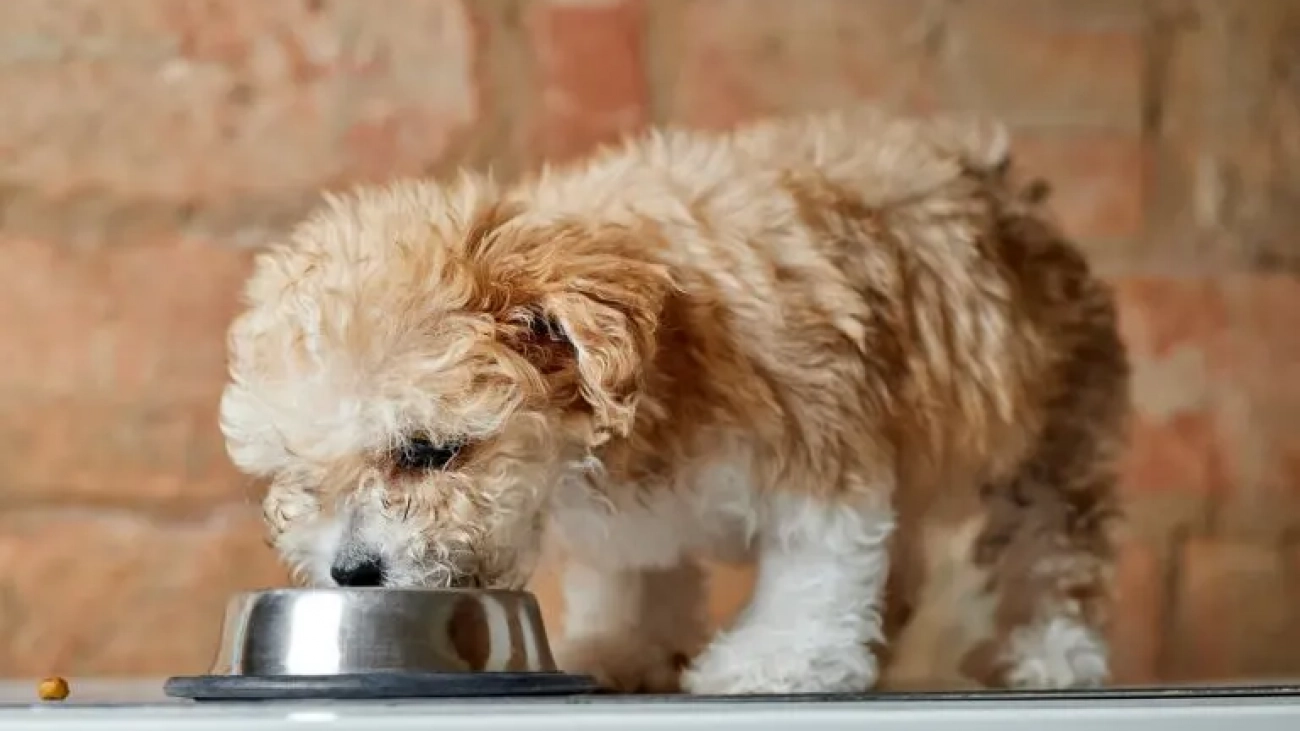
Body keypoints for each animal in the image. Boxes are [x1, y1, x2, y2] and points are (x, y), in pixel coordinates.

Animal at [220, 105, 1128, 691]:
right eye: (300, 474)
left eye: (427, 452)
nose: (352, 571)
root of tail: (1000, 178)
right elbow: (639, 575)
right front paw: (622, 646)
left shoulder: (819, 428)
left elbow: (817, 558)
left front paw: (777, 659)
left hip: (1047, 422)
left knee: (1053, 539)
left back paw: (1054, 650)